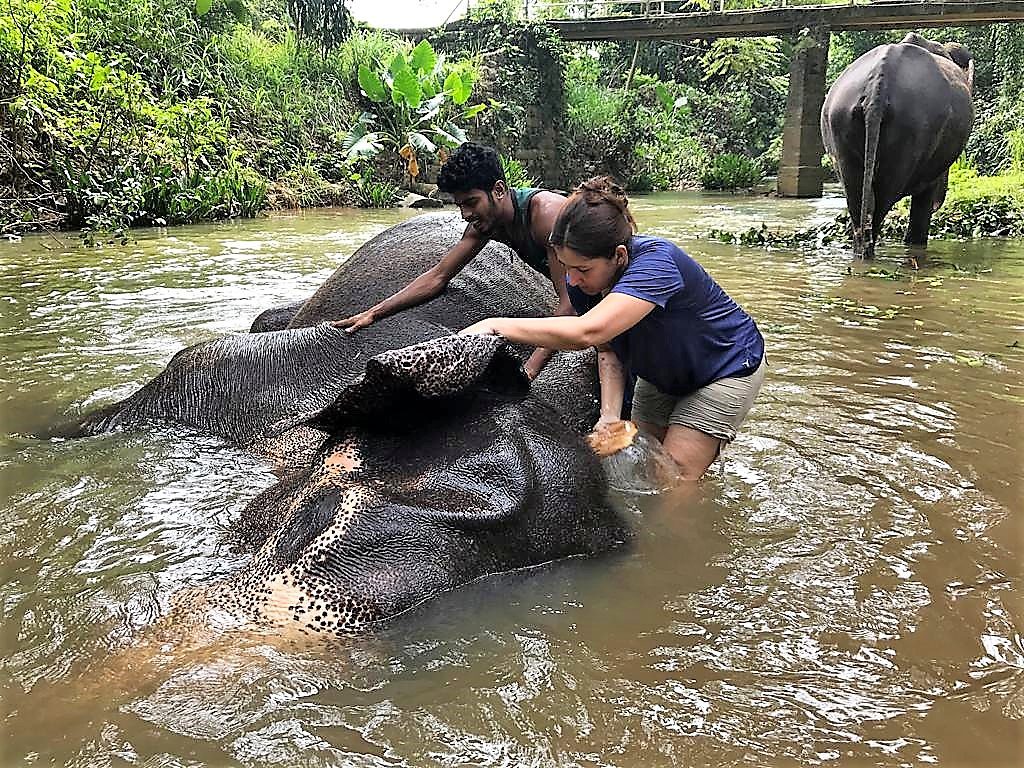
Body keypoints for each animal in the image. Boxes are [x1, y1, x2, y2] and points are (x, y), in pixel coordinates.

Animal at [820, 33, 974, 258]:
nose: (939, 203)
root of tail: (876, 90)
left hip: (839, 123)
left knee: (857, 200)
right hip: (911, 131)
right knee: (882, 202)